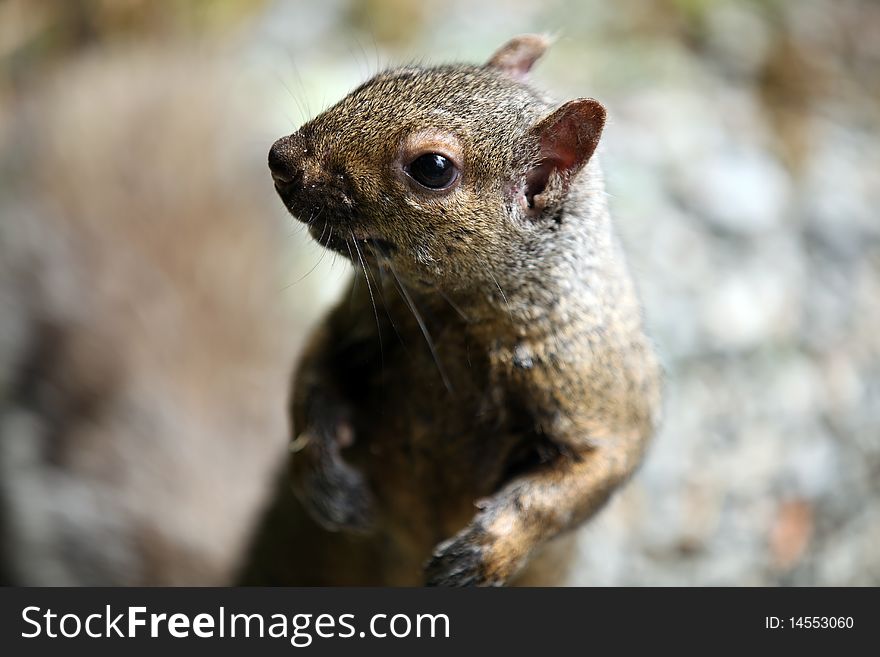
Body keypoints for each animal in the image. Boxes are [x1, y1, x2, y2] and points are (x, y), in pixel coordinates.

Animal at [241, 33, 660, 584]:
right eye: (379, 79)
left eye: (433, 168)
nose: (282, 157)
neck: (448, 319)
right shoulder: (347, 321)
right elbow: (311, 378)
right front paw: (324, 483)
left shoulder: (599, 388)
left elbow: (587, 473)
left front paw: (479, 555)